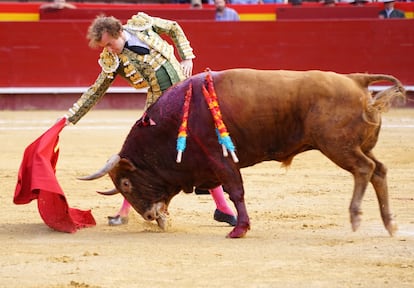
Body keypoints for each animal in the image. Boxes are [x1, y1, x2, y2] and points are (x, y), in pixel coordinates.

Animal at [81, 69, 408, 238]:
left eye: (126, 183)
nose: (149, 216)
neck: (171, 124)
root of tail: (356, 79)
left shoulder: (221, 158)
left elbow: (236, 191)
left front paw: (239, 229)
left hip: (338, 146)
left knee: (364, 169)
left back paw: (356, 217)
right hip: (356, 146)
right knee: (379, 170)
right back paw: (390, 223)